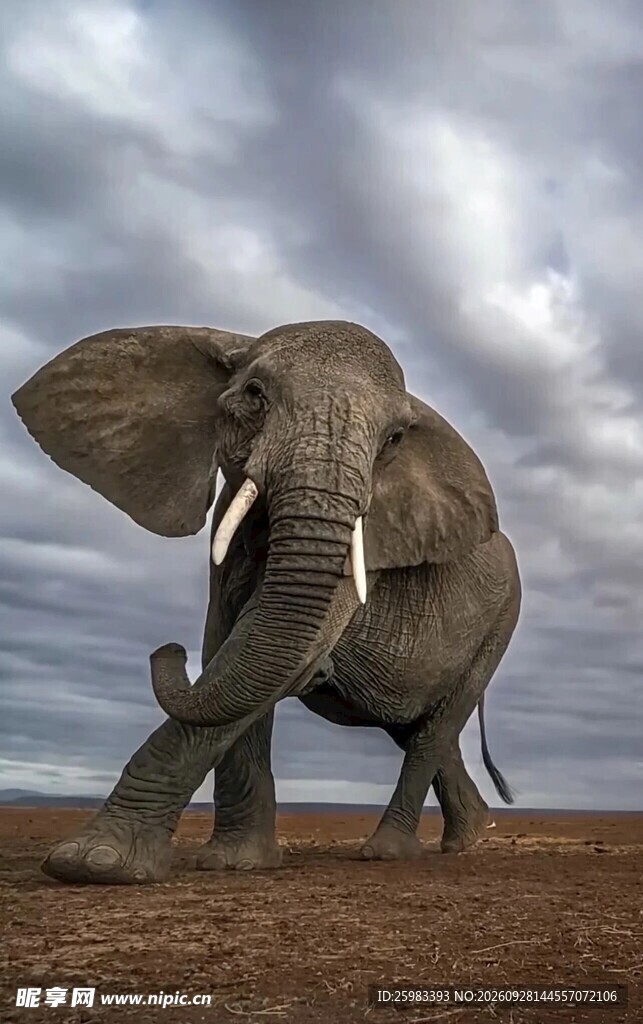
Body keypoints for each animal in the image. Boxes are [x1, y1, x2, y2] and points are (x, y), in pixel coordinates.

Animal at [11, 319, 520, 885]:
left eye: (393, 440)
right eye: (255, 394)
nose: (167, 650)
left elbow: (258, 659)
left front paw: (93, 862)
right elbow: (226, 650)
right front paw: (236, 862)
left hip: (500, 625)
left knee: (431, 732)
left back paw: (387, 851)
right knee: (417, 729)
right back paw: (466, 837)